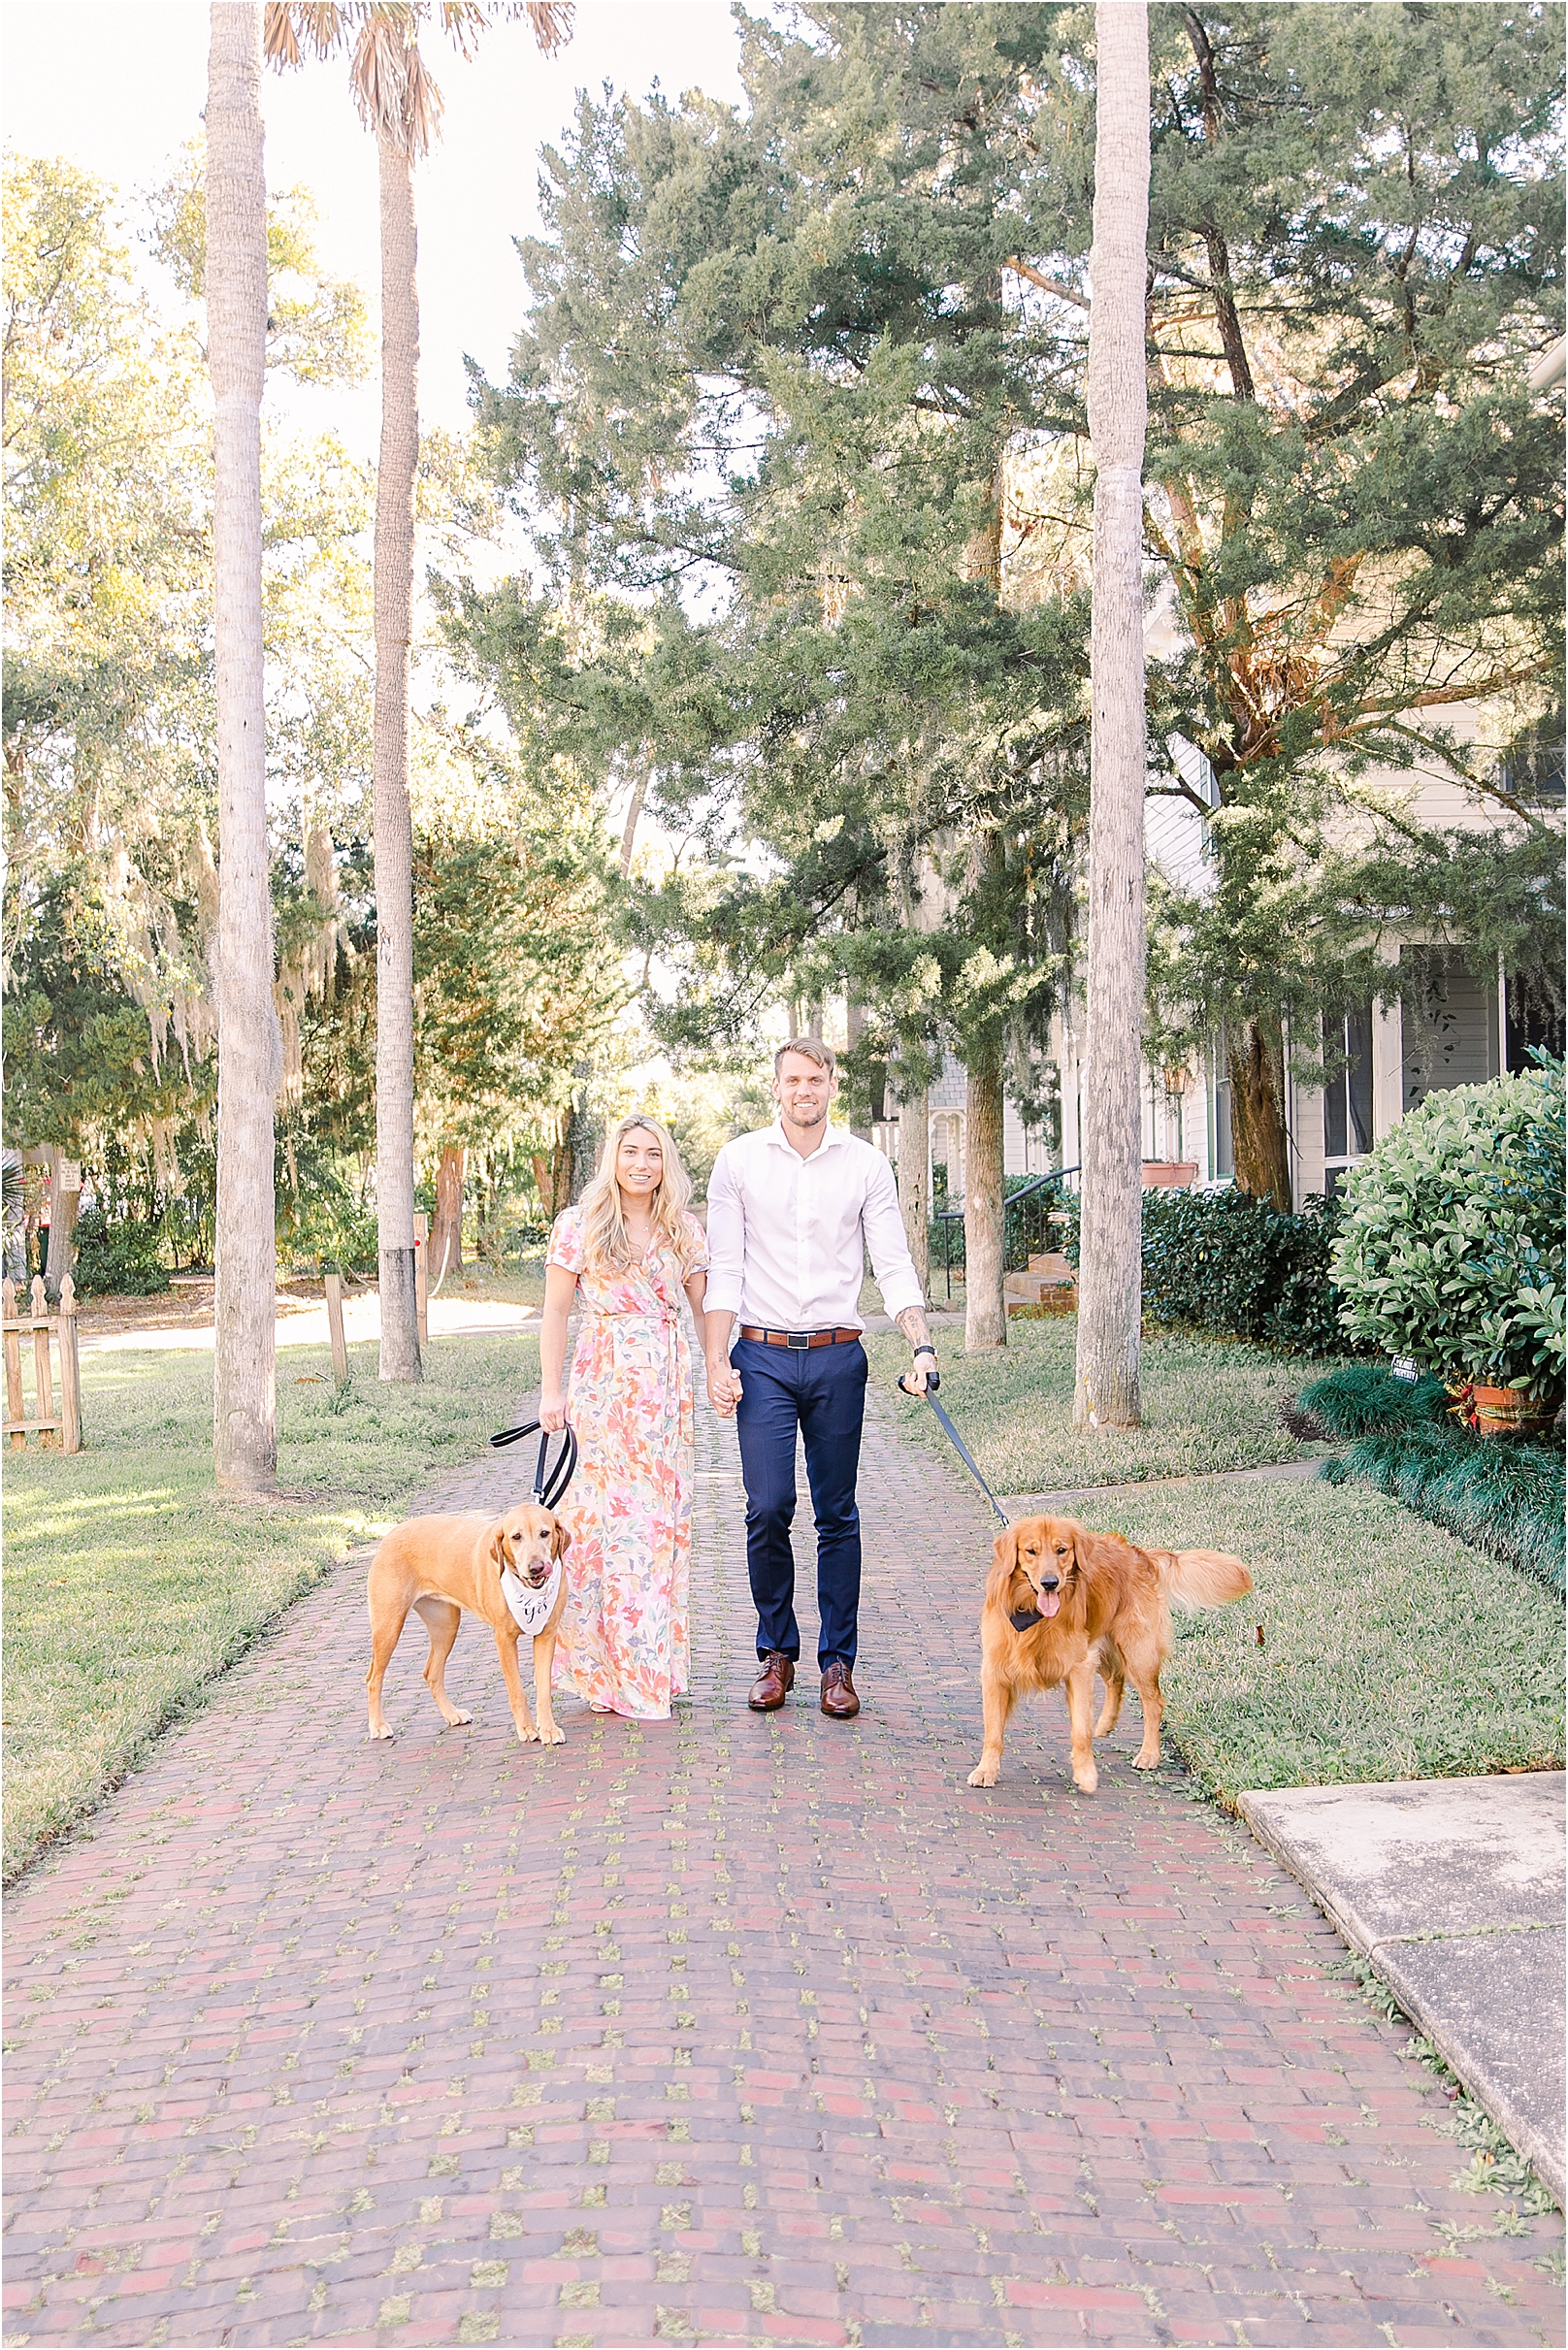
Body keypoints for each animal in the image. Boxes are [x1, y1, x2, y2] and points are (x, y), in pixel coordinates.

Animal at [365, 1503, 571, 1746]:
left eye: (544, 1533)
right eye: (516, 1537)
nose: (536, 1568)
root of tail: (390, 1533)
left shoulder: (546, 1634)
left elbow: (544, 1690)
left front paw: (548, 1728)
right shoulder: (504, 1639)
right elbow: (516, 1690)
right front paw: (527, 1728)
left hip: (446, 1625)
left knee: (431, 1673)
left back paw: (451, 1714)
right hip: (388, 1626)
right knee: (373, 1678)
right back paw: (378, 1725)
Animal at [967, 1515, 1252, 1796]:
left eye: (1062, 1550)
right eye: (1031, 1551)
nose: (1050, 1583)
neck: (1032, 1614)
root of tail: (1139, 1554)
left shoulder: (1079, 1667)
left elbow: (1080, 1730)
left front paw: (1085, 1774)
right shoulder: (994, 1669)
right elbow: (993, 1731)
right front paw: (986, 1770)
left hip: (1138, 1651)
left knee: (1153, 1702)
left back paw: (1149, 1754)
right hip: (1102, 1648)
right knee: (1116, 1679)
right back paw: (1105, 1724)